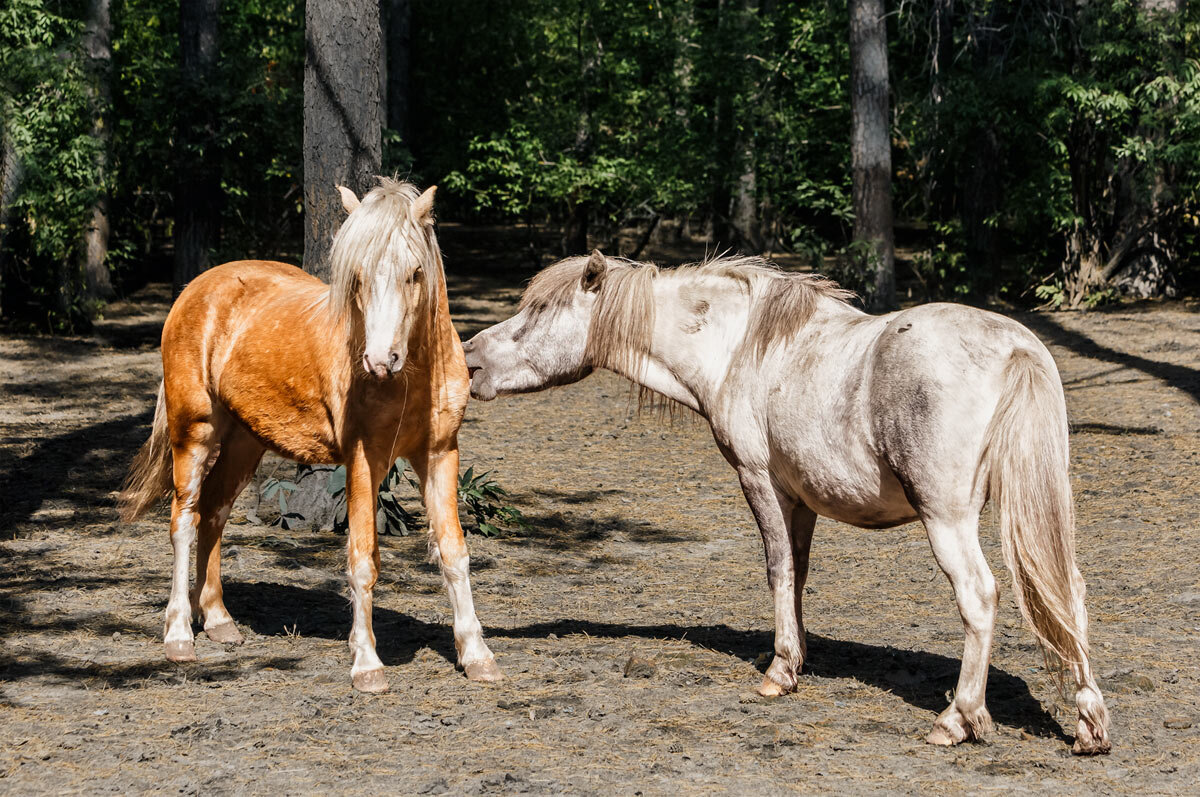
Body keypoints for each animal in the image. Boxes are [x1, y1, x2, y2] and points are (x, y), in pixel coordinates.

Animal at [118, 180, 501, 691]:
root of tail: (194, 289)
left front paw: (477, 655)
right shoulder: (364, 460)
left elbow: (454, 552)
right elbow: (363, 558)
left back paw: (218, 621)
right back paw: (179, 635)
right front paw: (367, 664)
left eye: (416, 273)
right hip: (193, 432)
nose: (380, 360)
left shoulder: (439, 455)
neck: (411, 379)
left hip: (245, 441)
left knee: (214, 513)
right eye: (357, 275)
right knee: (184, 519)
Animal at [463, 252, 1108, 758]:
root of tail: (1015, 348)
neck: (740, 347)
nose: (469, 358)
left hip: (948, 519)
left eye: (540, 311)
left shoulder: (760, 482)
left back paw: (958, 720)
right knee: (1070, 590)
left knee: (980, 595)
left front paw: (778, 673)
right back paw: (1088, 723)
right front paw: (797, 658)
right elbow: (797, 573)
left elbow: (776, 569)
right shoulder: (802, 501)